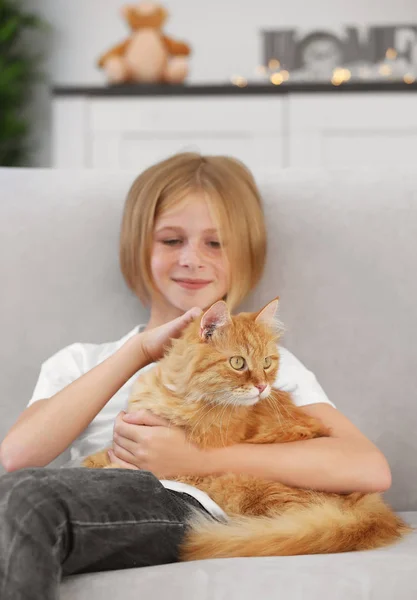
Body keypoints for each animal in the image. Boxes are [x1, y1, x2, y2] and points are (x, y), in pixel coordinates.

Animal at [82, 302, 410, 560]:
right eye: (238, 362)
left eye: (266, 363)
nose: (262, 386)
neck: (178, 397)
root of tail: (367, 511)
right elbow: (103, 452)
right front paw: (90, 460)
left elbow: (126, 463)